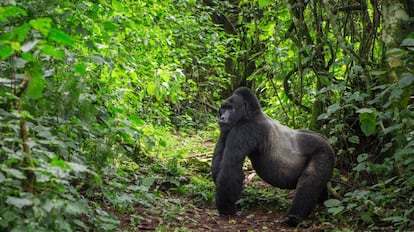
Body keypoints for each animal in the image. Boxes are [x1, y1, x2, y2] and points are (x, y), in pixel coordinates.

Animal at [212, 87, 334, 227]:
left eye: (230, 108)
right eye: (223, 108)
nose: (222, 117)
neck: (250, 113)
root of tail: (327, 141)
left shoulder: (243, 129)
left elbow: (230, 172)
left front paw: (226, 209)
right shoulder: (227, 129)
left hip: (323, 153)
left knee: (309, 182)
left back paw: (293, 218)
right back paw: (321, 203)